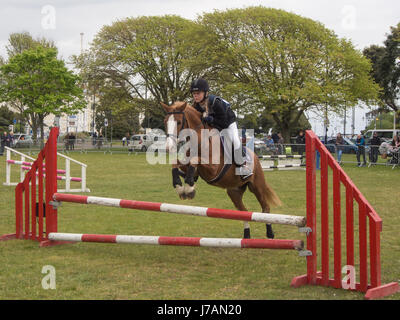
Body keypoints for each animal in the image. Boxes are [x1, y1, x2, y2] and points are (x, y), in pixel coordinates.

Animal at [160, 101, 282, 239]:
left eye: (179, 122)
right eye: (165, 121)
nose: (168, 148)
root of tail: (255, 157)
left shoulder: (212, 169)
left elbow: (196, 160)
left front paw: (189, 188)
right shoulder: (187, 163)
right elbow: (176, 164)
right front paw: (180, 187)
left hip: (257, 186)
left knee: (265, 208)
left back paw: (270, 233)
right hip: (234, 191)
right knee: (244, 211)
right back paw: (246, 236)